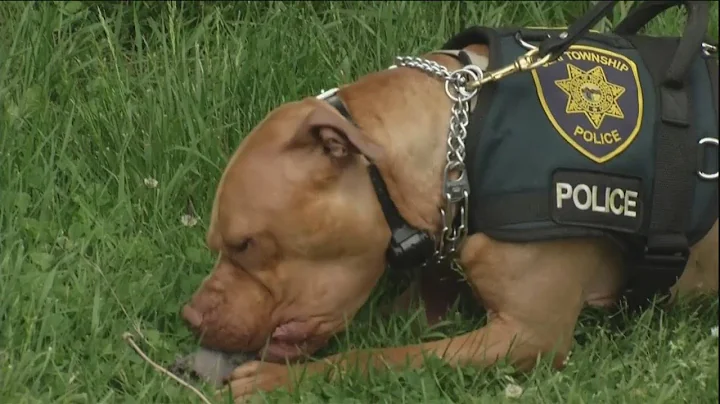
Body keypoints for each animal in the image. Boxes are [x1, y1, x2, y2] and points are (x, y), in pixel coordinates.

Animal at [180, 21, 720, 398]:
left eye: (246, 243)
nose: (189, 315)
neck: (460, 147)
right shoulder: (431, 297)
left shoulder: (528, 335)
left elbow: (382, 357)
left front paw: (279, 381)